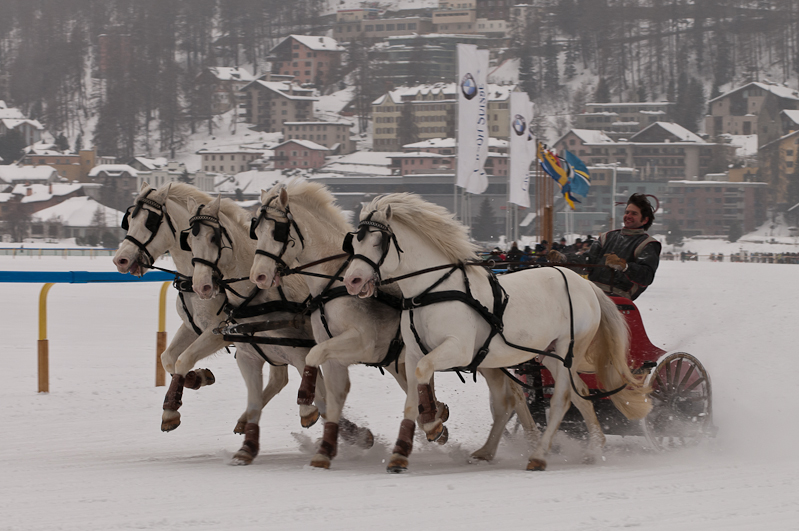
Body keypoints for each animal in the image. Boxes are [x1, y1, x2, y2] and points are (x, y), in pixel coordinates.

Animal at [185, 196, 376, 466]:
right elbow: (258, 401)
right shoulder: (249, 357)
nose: (201, 286)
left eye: (214, 238)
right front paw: (246, 449)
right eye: (190, 240)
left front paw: (354, 434)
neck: (258, 299)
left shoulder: (300, 354)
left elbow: (321, 398)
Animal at [247, 180, 454, 470]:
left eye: (278, 231)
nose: (259, 276)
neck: (333, 281)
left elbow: (313, 357)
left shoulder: (362, 343)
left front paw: (306, 407)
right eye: (256, 230)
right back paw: (436, 418)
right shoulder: (336, 354)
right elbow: (334, 393)